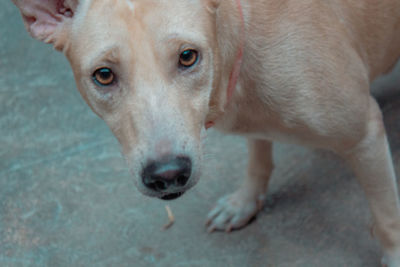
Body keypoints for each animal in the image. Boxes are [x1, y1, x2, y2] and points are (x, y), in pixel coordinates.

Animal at [10, 0, 400, 266]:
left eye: (188, 56)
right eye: (104, 75)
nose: (167, 175)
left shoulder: (365, 134)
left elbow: (387, 219)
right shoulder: (254, 122)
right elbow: (258, 154)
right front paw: (245, 201)